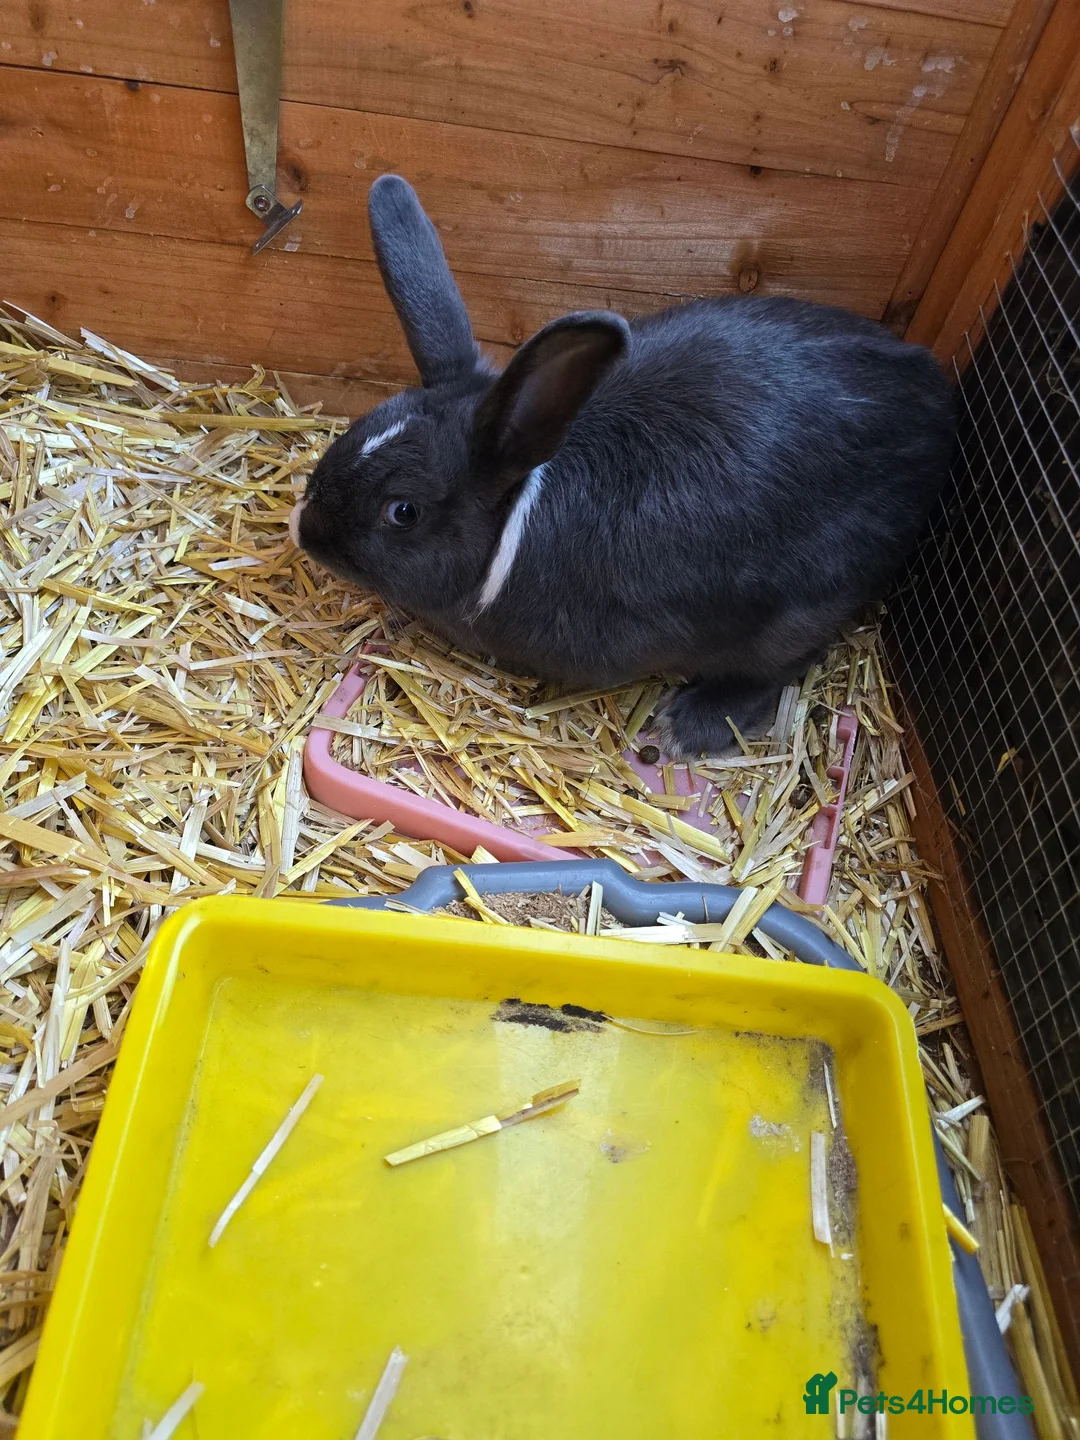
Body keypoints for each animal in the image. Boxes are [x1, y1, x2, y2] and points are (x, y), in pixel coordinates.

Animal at [291, 174, 955, 756]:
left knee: (785, 663)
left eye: (402, 511)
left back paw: (690, 725)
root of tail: (938, 409)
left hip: (802, 605)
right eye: (362, 426)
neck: (515, 522)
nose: (303, 528)